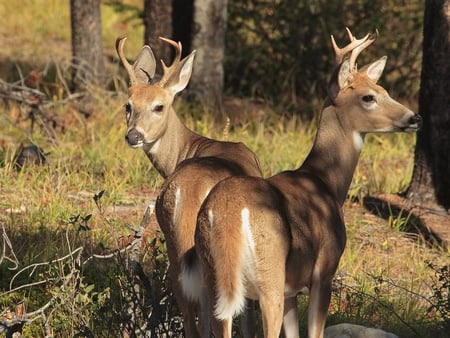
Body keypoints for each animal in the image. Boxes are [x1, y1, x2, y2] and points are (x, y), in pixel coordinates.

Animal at [115, 36, 264, 338]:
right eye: (128, 105)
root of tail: (188, 194)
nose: (134, 136)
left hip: (175, 246)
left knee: (189, 308)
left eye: (158, 106)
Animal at [193, 27, 422, 338]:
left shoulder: (291, 290)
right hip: (269, 276)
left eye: (385, 91)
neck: (326, 181)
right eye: (368, 97)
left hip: (213, 279)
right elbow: (315, 331)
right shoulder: (324, 270)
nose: (415, 117)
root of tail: (226, 213)